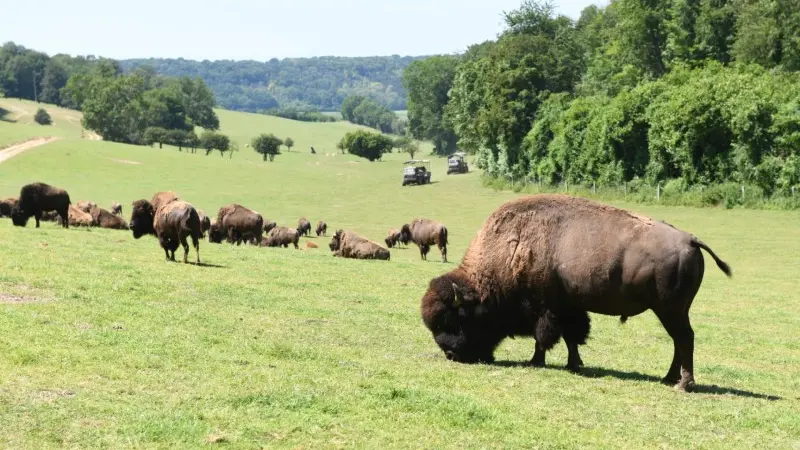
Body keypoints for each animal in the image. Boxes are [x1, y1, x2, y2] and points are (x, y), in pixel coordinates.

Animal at [418, 195, 732, 392]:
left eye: (455, 321)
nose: (451, 355)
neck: (512, 247)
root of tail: (690, 240)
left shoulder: (545, 309)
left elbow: (544, 337)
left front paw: (536, 362)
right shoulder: (568, 307)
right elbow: (572, 337)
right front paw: (574, 364)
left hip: (670, 310)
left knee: (684, 339)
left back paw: (682, 384)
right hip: (672, 311)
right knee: (680, 341)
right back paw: (668, 378)